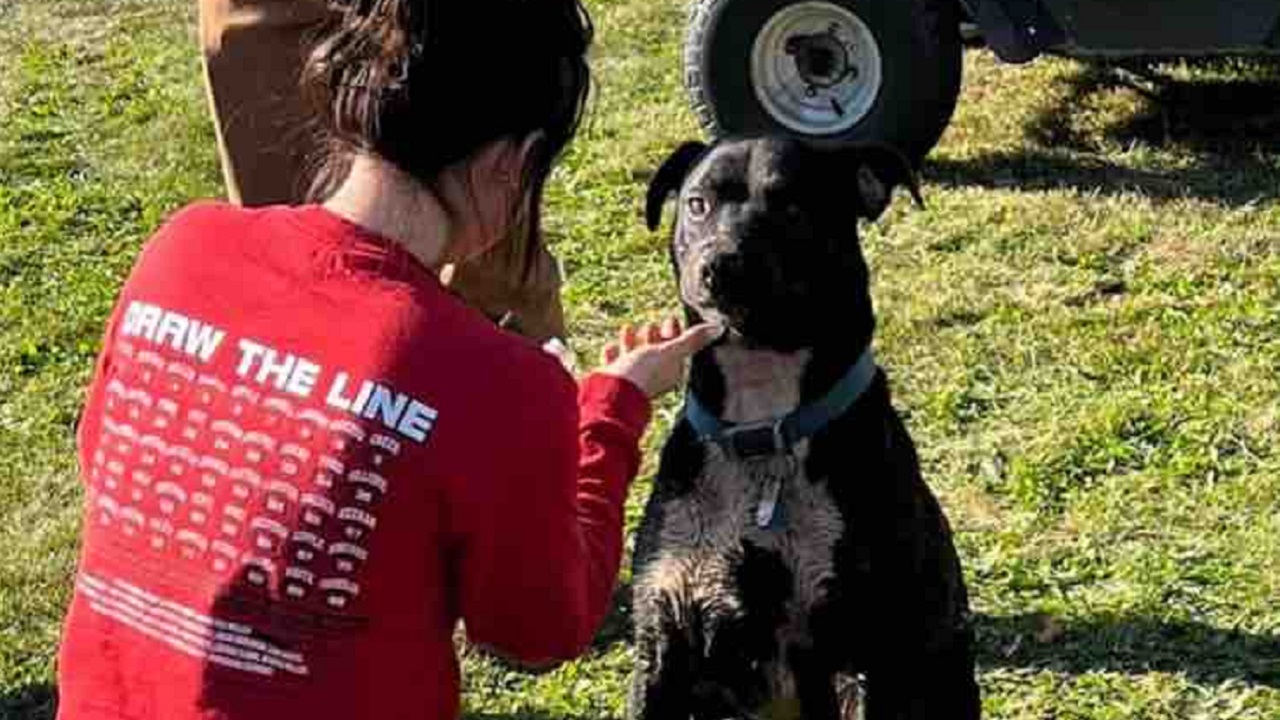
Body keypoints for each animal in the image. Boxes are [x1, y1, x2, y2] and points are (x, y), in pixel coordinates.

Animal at [629, 135, 977, 717]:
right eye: (698, 204)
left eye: (792, 207)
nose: (720, 264)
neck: (762, 423)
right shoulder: (665, 637)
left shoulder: (859, 655)